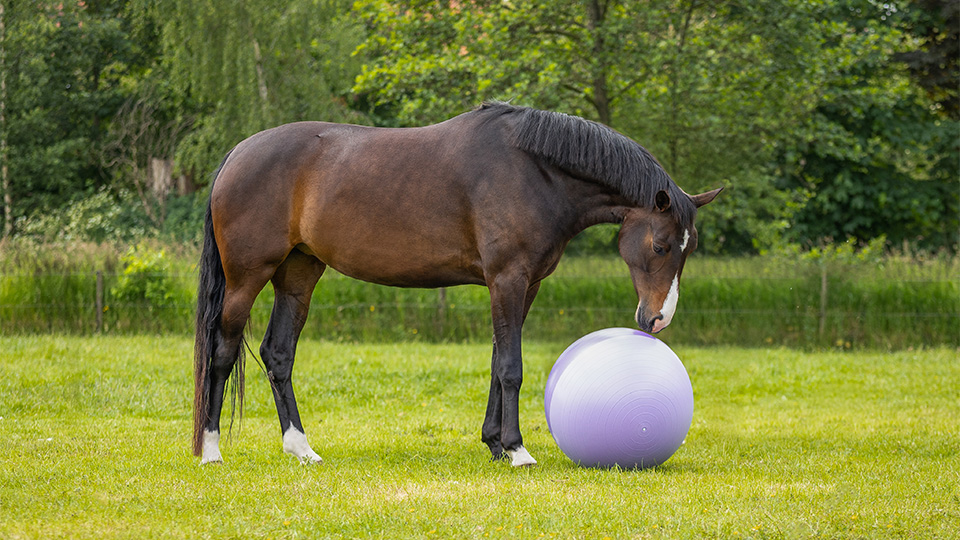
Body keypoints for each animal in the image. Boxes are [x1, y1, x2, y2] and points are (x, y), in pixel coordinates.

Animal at [193, 102, 721, 467]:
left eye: (688, 248)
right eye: (660, 246)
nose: (657, 318)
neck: (534, 172)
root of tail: (237, 153)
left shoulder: (524, 286)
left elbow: (496, 361)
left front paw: (495, 445)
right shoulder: (507, 279)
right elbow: (511, 366)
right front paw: (518, 450)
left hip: (299, 275)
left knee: (278, 354)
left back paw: (301, 449)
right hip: (247, 279)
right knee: (223, 351)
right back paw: (213, 450)